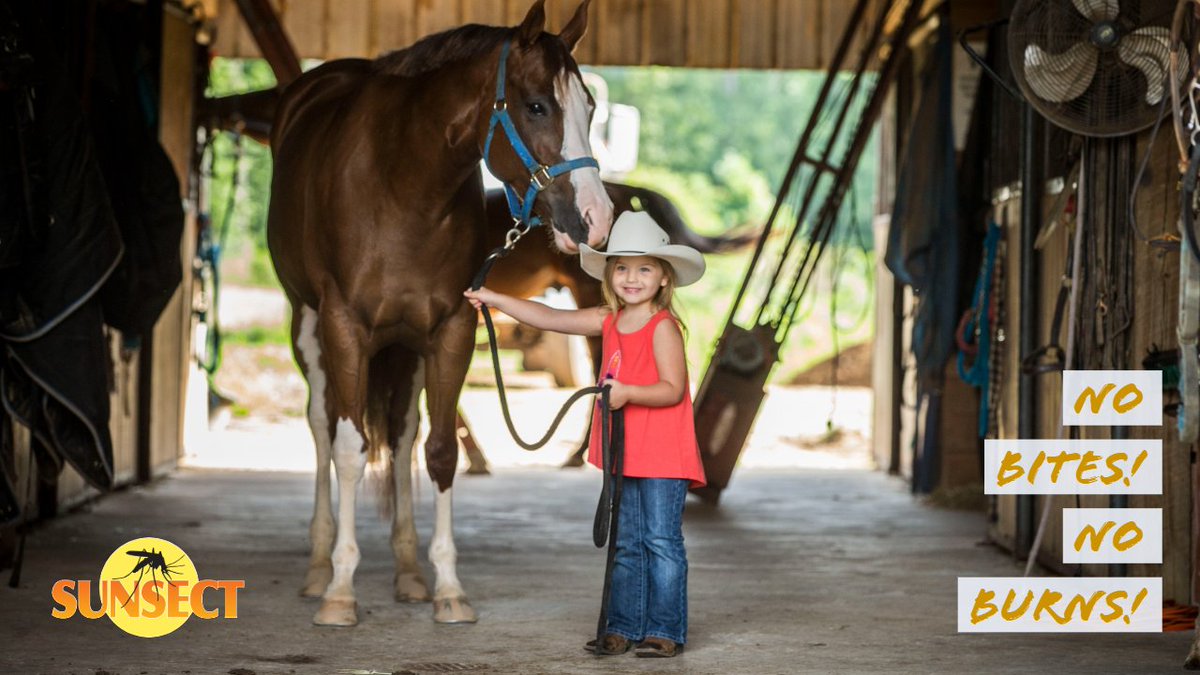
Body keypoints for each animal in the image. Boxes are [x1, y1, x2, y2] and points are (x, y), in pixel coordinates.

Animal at [266, 0, 612, 626]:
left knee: (404, 436)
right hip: (308, 327)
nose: (597, 219)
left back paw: (407, 572)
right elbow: (349, 450)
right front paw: (341, 590)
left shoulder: (451, 328)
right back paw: (319, 565)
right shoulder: (344, 327)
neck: (403, 183)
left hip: (404, 346)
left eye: (590, 107)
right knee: (322, 428)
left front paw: (449, 587)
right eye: (536, 105)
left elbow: (441, 452)